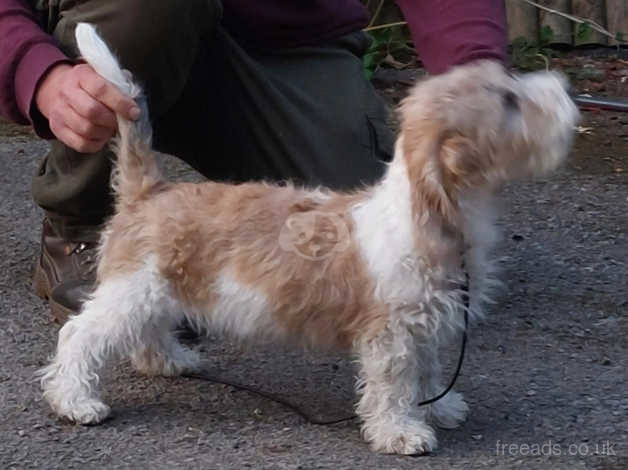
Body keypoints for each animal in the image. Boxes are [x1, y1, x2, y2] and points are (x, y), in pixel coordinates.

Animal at [39, 23, 580, 456]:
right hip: (134, 289)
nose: (563, 86)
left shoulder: (425, 323)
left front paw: (439, 407)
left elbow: (427, 371)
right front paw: (401, 432)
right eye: (508, 102)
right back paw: (76, 401)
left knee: (146, 330)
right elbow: (394, 386)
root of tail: (152, 190)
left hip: (156, 291)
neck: (428, 210)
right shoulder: (390, 335)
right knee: (79, 336)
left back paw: (168, 360)